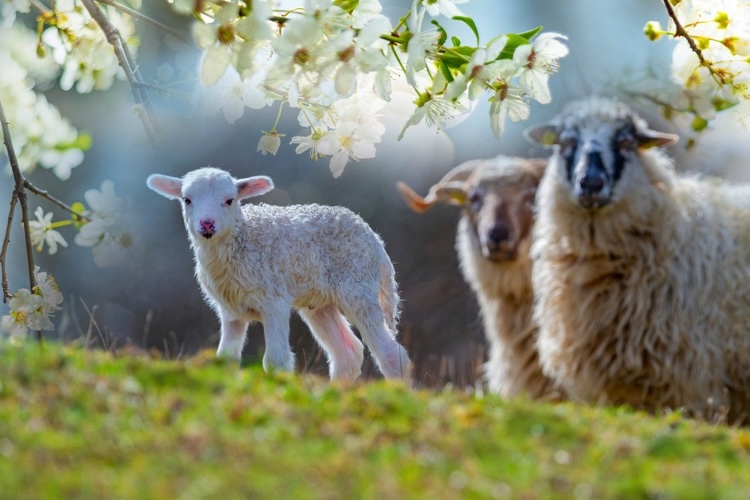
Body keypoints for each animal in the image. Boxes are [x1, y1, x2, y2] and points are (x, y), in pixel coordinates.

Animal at [146, 167, 412, 382]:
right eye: (187, 200)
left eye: (230, 200)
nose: (207, 224)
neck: (242, 241)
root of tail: (377, 242)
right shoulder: (231, 311)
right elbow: (226, 359)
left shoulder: (273, 302)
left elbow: (276, 360)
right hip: (320, 302)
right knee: (347, 352)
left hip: (357, 285)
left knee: (390, 353)